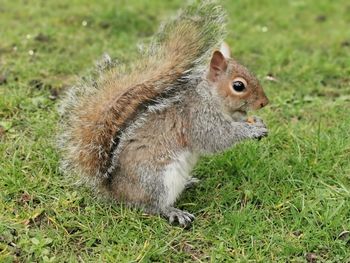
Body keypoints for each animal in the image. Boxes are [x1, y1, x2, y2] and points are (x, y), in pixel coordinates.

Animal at [58, 1, 270, 228]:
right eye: (238, 86)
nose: (264, 102)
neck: (211, 98)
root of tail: (115, 190)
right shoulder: (197, 118)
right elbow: (216, 138)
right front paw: (250, 129)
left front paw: (257, 122)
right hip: (158, 180)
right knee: (151, 206)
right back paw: (174, 212)